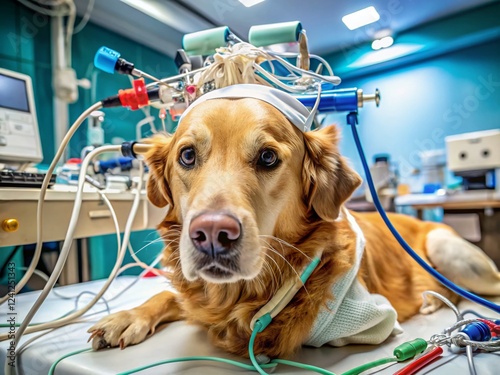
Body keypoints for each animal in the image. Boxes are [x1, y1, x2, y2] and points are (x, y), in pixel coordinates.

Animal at [88, 84, 500, 358]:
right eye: (187, 155)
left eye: (268, 157)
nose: (212, 234)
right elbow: (169, 295)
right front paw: (125, 317)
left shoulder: (374, 320)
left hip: (447, 249)